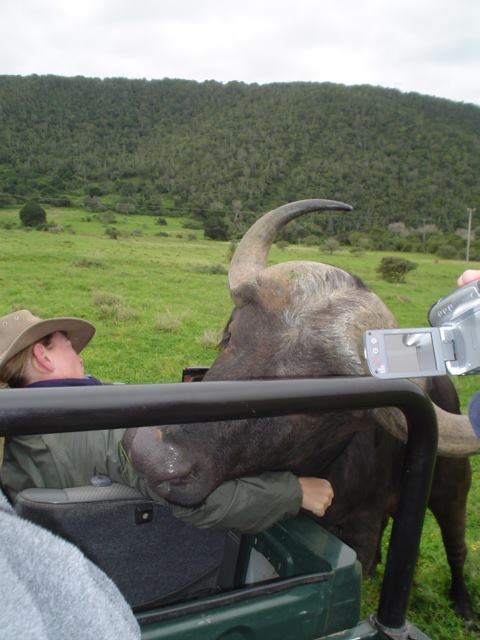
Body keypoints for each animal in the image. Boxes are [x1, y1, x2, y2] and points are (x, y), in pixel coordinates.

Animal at [124, 200, 480, 620]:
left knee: (456, 547)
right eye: (230, 336)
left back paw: (464, 605)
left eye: (321, 408)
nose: (152, 456)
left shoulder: (360, 532)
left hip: (452, 489)